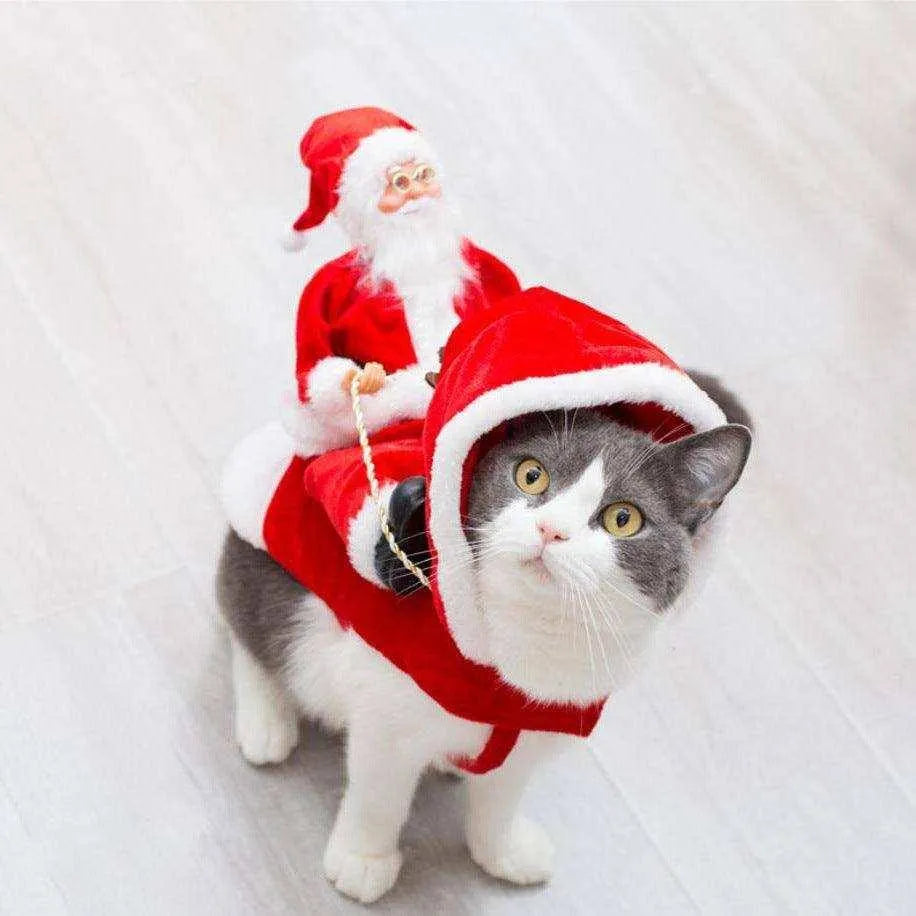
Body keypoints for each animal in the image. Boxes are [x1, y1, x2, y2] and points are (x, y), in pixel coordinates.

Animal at [216, 376, 752, 904]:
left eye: (624, 519)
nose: (550, 530)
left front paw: (502, 852)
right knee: (249, 629)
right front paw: (363, 859)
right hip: (279, 593)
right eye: (531, 475)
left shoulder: (538, 723)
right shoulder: (386, 706)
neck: (521, 652)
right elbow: (379, 792)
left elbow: (500, 798)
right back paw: (266, 722)